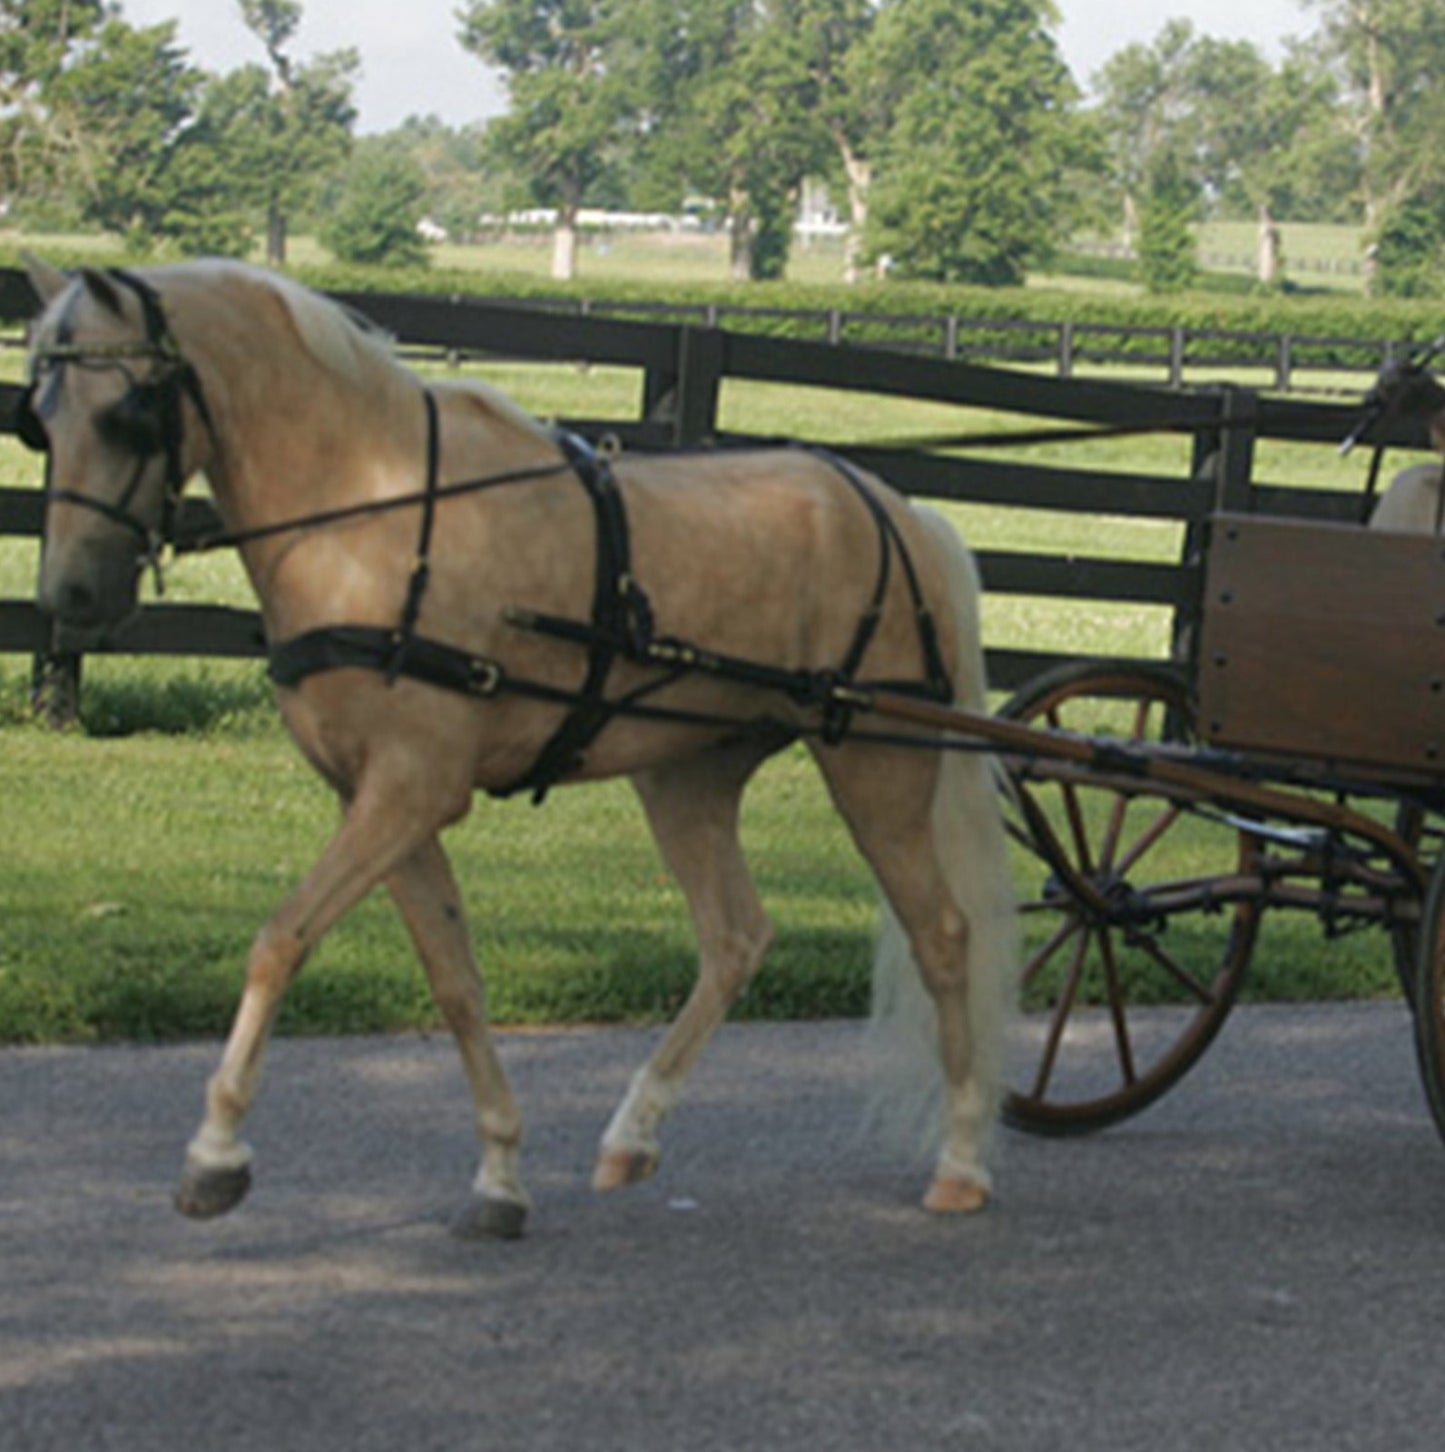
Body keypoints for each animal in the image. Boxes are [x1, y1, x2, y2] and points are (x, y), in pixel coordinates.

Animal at [22, 258, 1016, 1237]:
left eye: (126, 412)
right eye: (38, 420)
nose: (69, 595)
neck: (370, 509)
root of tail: (899, 508)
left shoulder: (413, 791)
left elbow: (281, 940)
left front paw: (216, 1152)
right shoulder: (382, 803)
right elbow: (455, 979)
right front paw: (499, 1173)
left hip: (878, 766)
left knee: (942, 937)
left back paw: (963, 1157)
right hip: (686, 775)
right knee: (735, 937)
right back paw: (632, 1133)